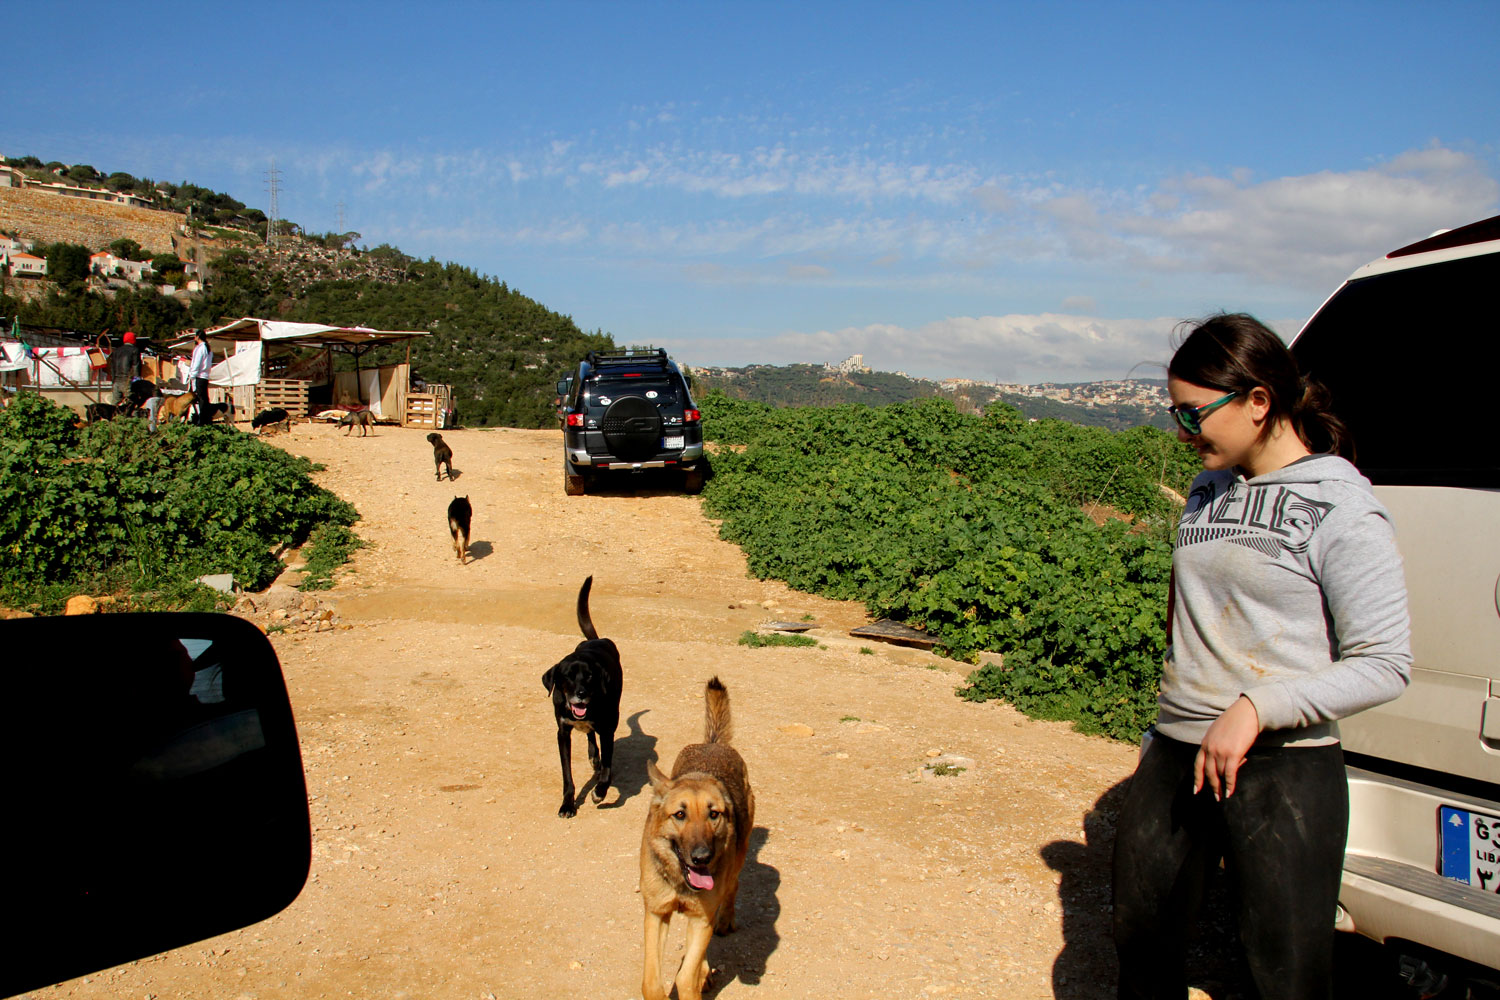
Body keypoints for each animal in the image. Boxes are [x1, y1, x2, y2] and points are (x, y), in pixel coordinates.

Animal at [543, 578, 624, 821]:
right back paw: (592, 756)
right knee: (589, 734)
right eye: (567, 676)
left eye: (589, 677)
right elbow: (567, 776)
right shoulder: (562, 733)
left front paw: (599, 792)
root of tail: (597, 640)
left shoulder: (607, 730)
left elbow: (607, 770)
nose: (581, 694)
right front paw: (567, 804)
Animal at [636, 671, 750, 1000]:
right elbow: (651, 983)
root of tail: (711, 744)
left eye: (714, 814)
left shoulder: (701, 919)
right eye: (680, 815)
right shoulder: (656, 913)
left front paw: (695, 977)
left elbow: (686, 979)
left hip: (736, 862)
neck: (680, 882)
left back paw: (725, 921)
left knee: (732, 887)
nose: (702, 857)